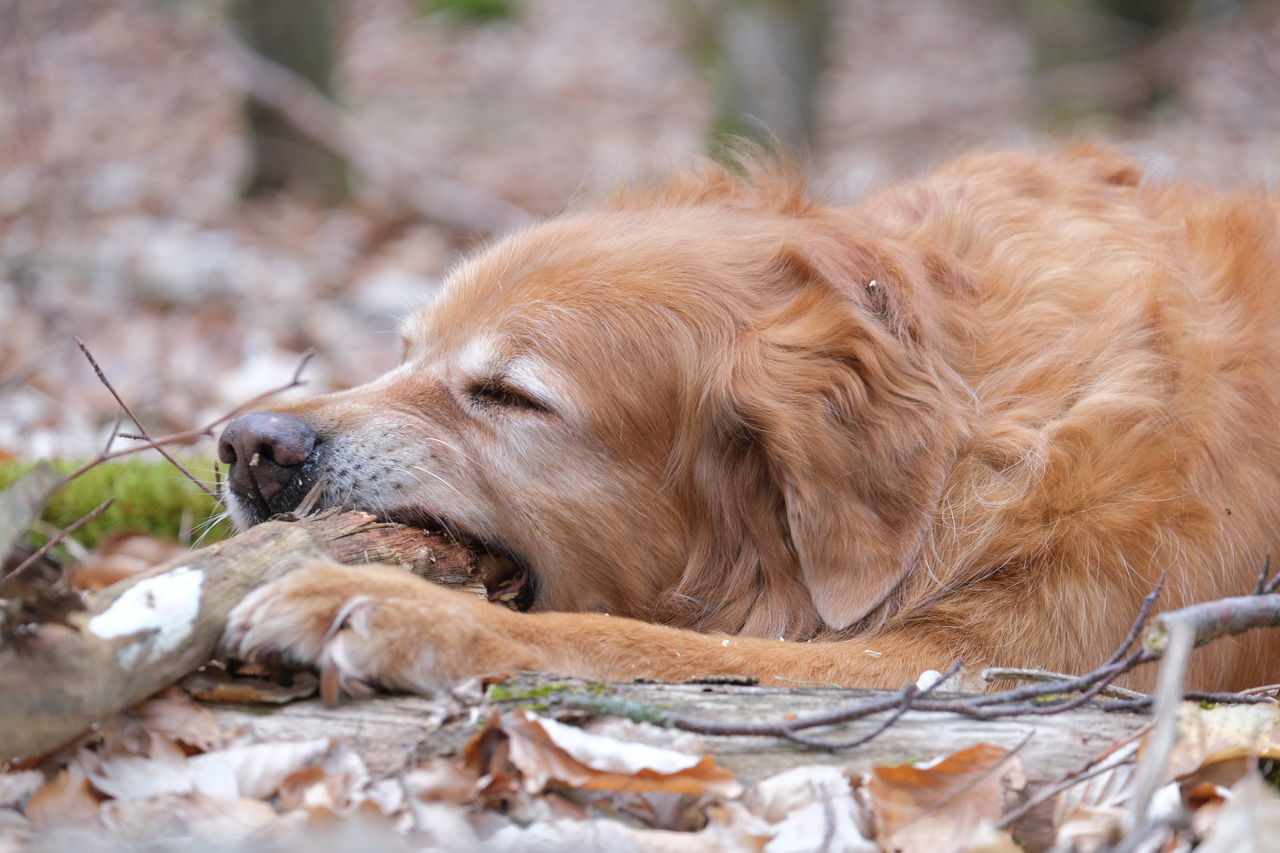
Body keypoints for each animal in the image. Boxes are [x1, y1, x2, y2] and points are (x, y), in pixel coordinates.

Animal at [215, 144, 1280, 691]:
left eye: (509, 395)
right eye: (403, 354)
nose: (250, 444)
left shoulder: (991, 665)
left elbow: (633, 639)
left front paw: (388, 607)